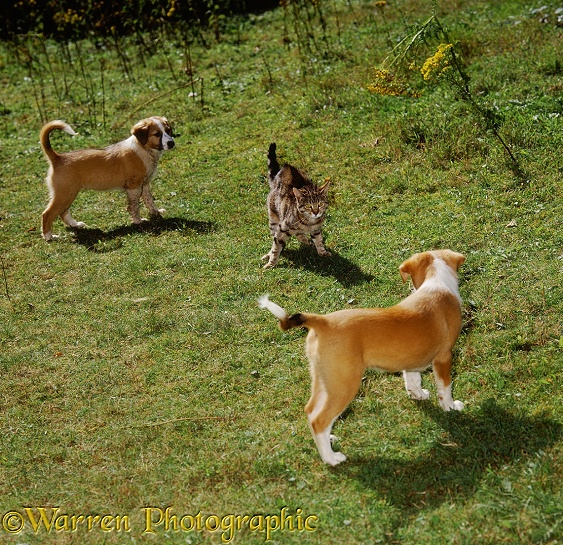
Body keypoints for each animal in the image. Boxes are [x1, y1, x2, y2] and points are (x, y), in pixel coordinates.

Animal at [40, 116, 175, 240]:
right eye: (157, 134)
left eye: (168, 130)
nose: (172, 143)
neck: (143, 148)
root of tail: (58, 158)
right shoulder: (134, 187)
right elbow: (134, 206)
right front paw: (138, 221)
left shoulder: (145, 184)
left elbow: (149, 200)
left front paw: (156, 213)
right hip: (65, 193)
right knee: (47, 214)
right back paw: (49, 237)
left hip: (68, 194)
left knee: (63, 212)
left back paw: (76, 224)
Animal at [260, 249, 468, 466]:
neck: (436, 282)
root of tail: (322, 322)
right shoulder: (444, 358)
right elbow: (445, 387)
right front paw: (451, 407)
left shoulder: (410, 361)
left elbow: (412, 379)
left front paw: (418, 395)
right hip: (345, 384)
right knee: (320, 419)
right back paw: (331, 458)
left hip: (325, 379)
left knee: (311, 411)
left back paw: (329, 440)